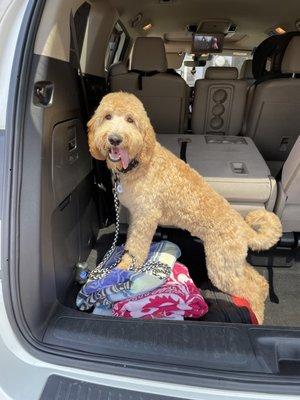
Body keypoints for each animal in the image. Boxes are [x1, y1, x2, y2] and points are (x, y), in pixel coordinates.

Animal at [88, 92, 282, 324]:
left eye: (130, 120)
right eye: (107, 116)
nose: (115, 139)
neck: (141, 160)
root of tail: (244, 227)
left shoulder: (146, 216)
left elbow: (136, 248)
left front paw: (124, 268)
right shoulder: (136, 215)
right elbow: (132, 242)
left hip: (221, 267)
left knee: (250, 290)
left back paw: (257, 318)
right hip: (231, 261)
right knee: (258, 282)